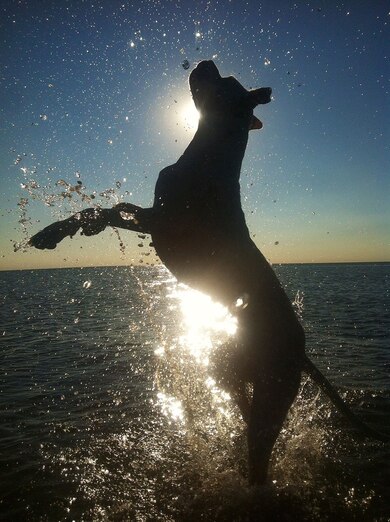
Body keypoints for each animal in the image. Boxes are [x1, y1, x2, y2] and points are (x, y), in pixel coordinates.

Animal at [29, 59, 386, 482]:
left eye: (226, 80)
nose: (206, 62)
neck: (208, 155)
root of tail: (301, 352)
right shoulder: (152, 216)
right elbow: (115, 208)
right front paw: (65, 228)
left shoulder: (164, 223)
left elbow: (108, 209)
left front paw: (61, 230)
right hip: (228, 366)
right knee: (243, 410)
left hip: (271, 390)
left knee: (259, 454)